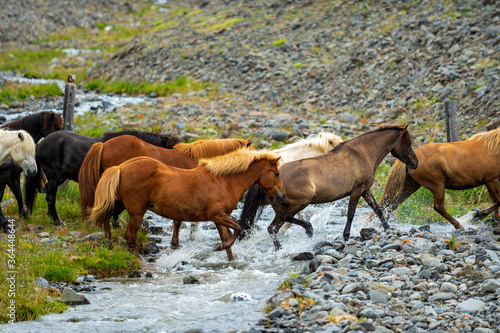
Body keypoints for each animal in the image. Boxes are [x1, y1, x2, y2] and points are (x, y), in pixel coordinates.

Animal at [24, 128, 182, 224]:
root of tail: (40, 144)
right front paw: (115, 223)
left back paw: (50, 216)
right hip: (55, 178)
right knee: (50, 197)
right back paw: (57, 221)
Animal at [90, 147, 286, 260]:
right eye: (276, 173)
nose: (283, 196)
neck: (223, 181)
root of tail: (121, 167)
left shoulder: (219, 218)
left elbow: (229, 237)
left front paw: (230, 258)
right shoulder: (217, 215)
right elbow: (237, 230)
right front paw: (221, 247)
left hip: (120, 204)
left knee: (106, 216)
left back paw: (108, 241)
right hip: (136, 212)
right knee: (129, 235)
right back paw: (138, 258)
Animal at [238, 124, 418, 249]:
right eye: (408, 142)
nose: (415, 163)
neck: (361, 154)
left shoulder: (365, 190)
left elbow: (378, 209)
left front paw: (388, 229)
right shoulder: (356, 191)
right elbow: (351, 214)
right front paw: (346, 236)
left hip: (281, 207)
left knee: (273, 228)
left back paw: (281, 248)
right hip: (301, 202)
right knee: (283, 221)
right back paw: (308, 230)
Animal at [364, 127, 500, 228]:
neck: (494, 149)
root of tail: (413, 158)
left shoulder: (493, 181)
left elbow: (496, 200)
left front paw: (495, 218)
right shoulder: (491, 180)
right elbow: (498, 200)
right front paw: (480, 214)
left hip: (411, 186)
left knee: (392, 204)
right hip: (437, 186)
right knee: (439, 207)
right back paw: (459, 225)